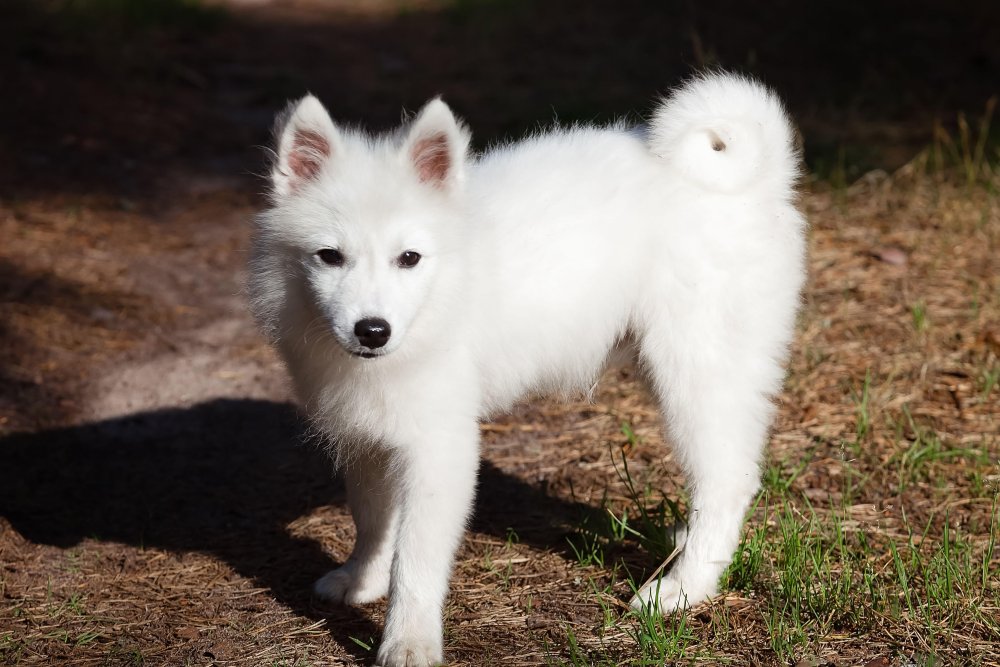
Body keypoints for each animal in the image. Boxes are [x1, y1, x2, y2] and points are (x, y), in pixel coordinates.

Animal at [248, 74, 804, 667]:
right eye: (329, 257)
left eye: (409, 258)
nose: (372, 331)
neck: (441, 295)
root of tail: (760, 181)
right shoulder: (370, 437)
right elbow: (374, 519)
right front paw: (362, 580)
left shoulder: (439, 450)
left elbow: (416, 561)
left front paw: (408, 641)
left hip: (696, 373)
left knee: (728, 481)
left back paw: (681, 587)